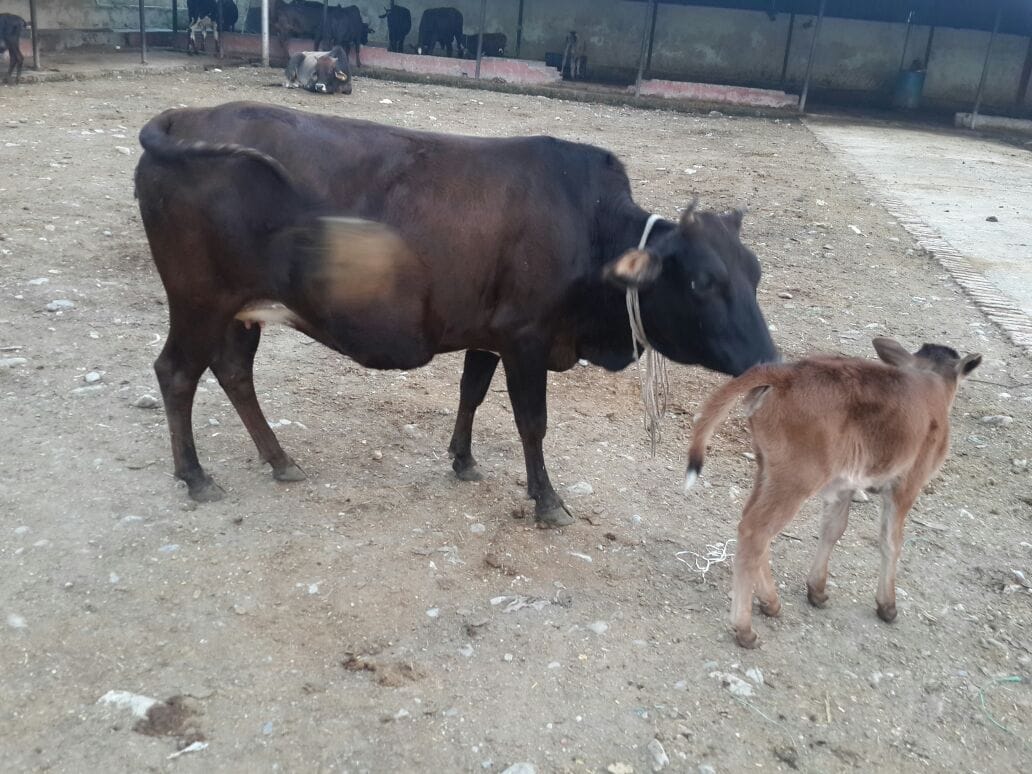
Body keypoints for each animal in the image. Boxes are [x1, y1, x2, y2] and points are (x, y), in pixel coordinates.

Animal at [134, 101, 778, 526]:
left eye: (755, 273)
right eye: (703, 280)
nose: (768, 361)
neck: (589, 229)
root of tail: (186, 116)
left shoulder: (487, 334)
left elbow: (471, 392)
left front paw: (463, 460)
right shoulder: (526, 338)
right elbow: (532, 422)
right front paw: (547, 500)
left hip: (240, 310)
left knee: (234, 373)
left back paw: (279, 460)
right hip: (198, 301)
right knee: (177, 373)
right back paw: (195, 476)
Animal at [685, 338, 981, 647]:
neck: (930, 381)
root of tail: (785, 372)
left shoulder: (845, 484)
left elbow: (833, 529)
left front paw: (816, 589)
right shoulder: (908, 483)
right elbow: (891, 541)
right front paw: (887, 605)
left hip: (767, 468)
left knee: (749, 522)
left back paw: (770, 601)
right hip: (797, 476)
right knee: (756, 531)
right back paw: (744, 627)